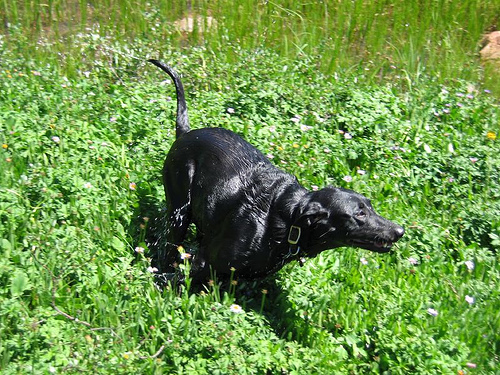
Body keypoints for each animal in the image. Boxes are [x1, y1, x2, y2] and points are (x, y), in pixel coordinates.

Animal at [147, 58, 402, 284]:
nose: (399, 230)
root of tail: (185, 133)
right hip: (179, 209)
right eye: (359, 214)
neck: (288, 222)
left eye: (371, 206)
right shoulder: (205, 260)